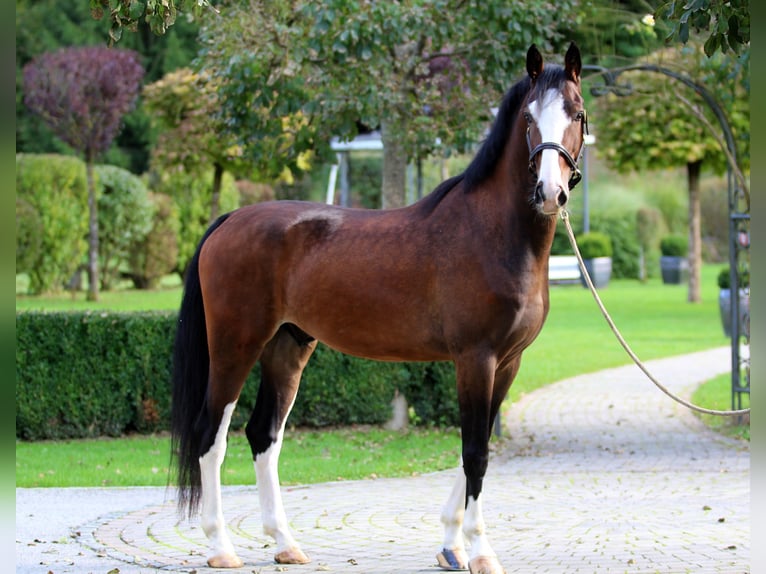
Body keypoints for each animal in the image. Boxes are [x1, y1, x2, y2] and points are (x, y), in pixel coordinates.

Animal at [171, 42, 587, 574]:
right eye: (529, 118)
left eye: (577, 113)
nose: (550, 192)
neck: (493, 233)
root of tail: (228, 221)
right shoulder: (476, 359)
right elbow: (475, 452)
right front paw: (479, 550)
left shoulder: (509, 363)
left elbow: (477, 449)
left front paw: (450, 545)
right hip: (234, 346)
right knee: (211, 434)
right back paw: (220, 547)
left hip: (288, 347)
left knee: (264, 435)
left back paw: (285, 543)